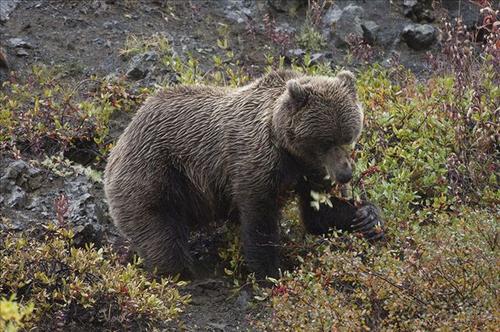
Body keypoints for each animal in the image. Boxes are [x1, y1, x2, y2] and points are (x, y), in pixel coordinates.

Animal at [105, 70, 384, 280]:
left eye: (349, 137)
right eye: (326, 142)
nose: (345, 174)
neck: (289, 150)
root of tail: (121, 140)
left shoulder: (310, 171)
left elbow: (317, 212)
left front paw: (367, 217)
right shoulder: (255, 161)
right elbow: (259, 217)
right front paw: (271, 270)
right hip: (155, 172)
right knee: (159, 233)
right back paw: (183, 274)